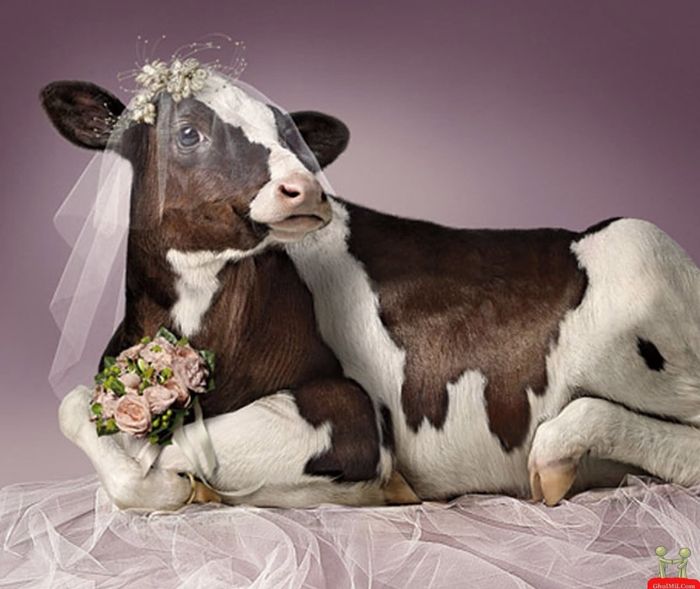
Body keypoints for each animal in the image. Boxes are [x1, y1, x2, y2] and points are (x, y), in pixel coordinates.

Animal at [44, 70, 700, 511]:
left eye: (290, 133)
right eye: (187, 133)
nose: (306, 187)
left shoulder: (352, 417)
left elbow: (175, 451)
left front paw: (175, 485)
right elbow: (74, 406)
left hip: (639, 256)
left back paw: (556, 454)